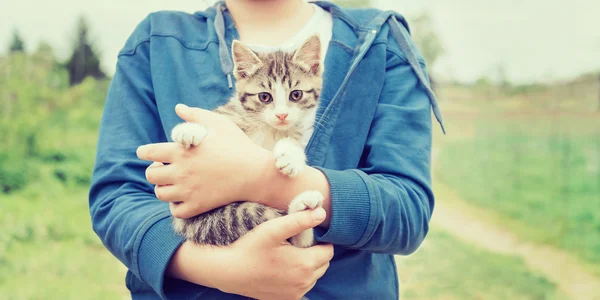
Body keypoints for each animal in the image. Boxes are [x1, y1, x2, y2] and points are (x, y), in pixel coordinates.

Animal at [171, 34, 324, 248]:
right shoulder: (232, 113)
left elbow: (293, 141)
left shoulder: (297, 130)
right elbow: (219, 119)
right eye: (264, 97)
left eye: (296, 94)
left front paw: (290, 157)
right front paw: (190, 129)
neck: (269, 129)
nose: (282, 115)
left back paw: (304, 206)